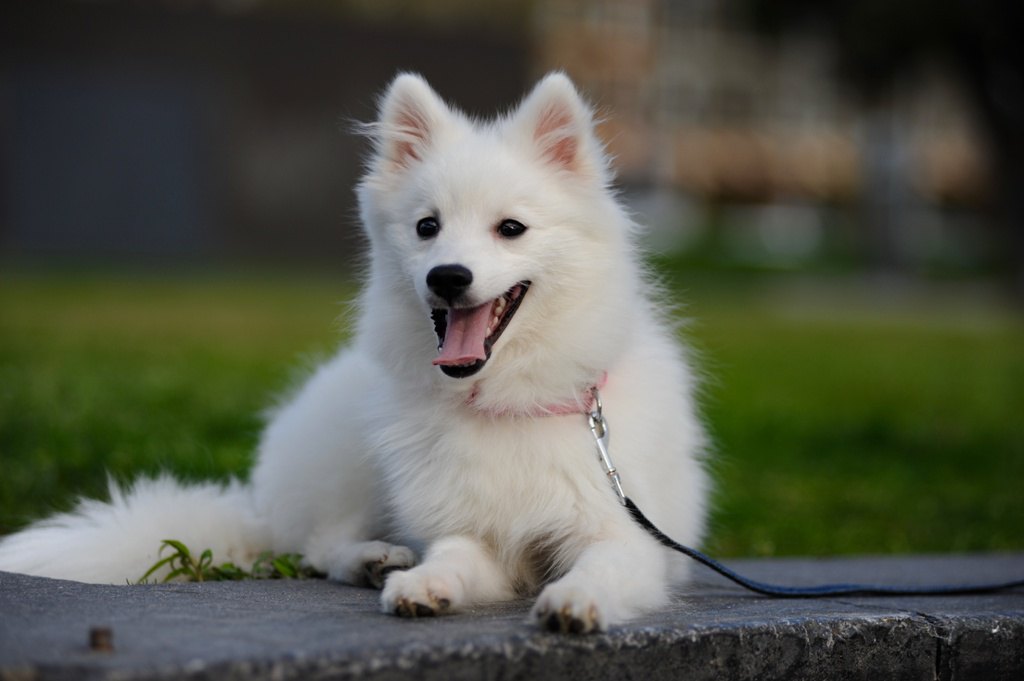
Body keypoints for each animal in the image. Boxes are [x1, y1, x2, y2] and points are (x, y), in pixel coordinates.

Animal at [0, 71, 708, 630]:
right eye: (427, 227)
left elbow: (602, 568)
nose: (447, 276)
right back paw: (374, 560)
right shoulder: (469, 533)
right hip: (350, 458)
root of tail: (262, 506)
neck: (506, 398)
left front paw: (573, 600)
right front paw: (424, 583)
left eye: (512, 228)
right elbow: (452, 556)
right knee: (318, 544)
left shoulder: (626, 536)